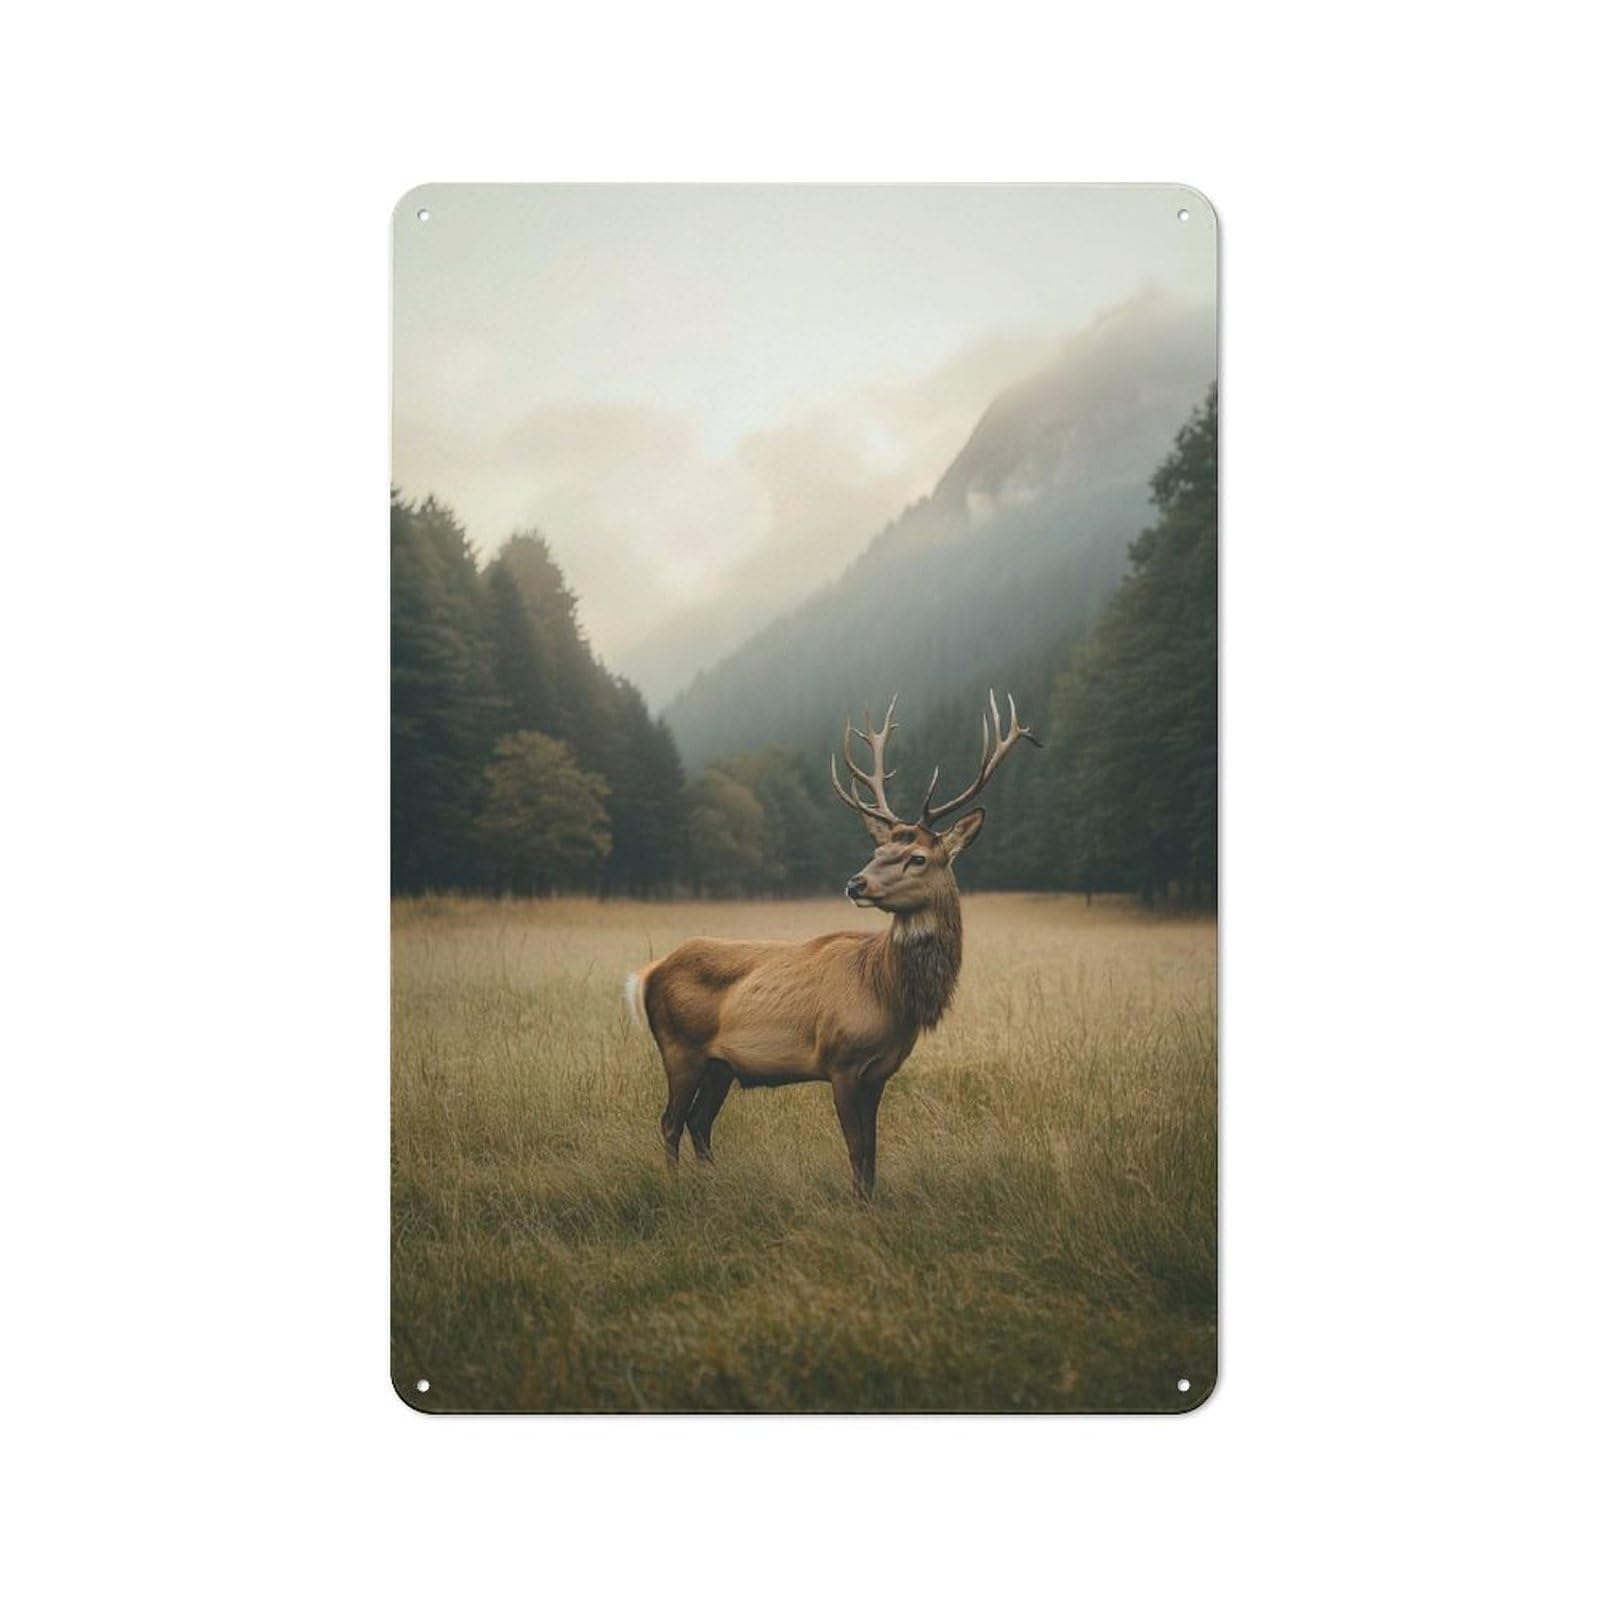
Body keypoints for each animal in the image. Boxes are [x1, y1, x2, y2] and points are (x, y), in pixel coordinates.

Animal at [626, 690, 1040, 1197]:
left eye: (917, 857)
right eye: (878, 851)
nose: (855, 883)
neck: (889, 994)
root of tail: (649, 973)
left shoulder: (881, 1071)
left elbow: (873, 1153)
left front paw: (871, 1201)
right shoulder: (839, 1059)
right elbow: (856, 1150)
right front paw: (859, 1205)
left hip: (720, 1064)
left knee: (699, 1123)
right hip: (679, 1046)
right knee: (670, 1121)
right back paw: (675, 1186)